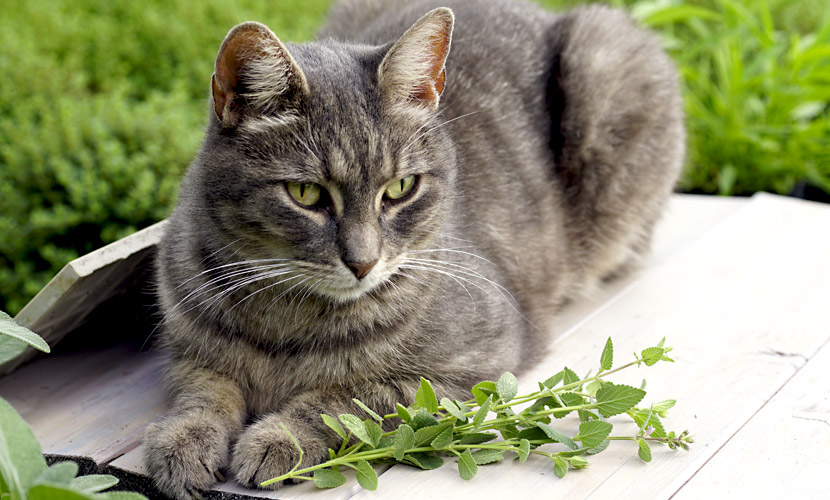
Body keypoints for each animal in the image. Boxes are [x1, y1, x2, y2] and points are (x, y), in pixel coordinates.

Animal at [146, 0, 684, 498]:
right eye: (306, 194)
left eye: (401, 187)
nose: (362, 263)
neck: (286, 321)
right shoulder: (188, 351)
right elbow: (204, 393)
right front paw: (182, 441)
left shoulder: (473, 363)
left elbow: (348, 399)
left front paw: (278, 438)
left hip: (605, 55)